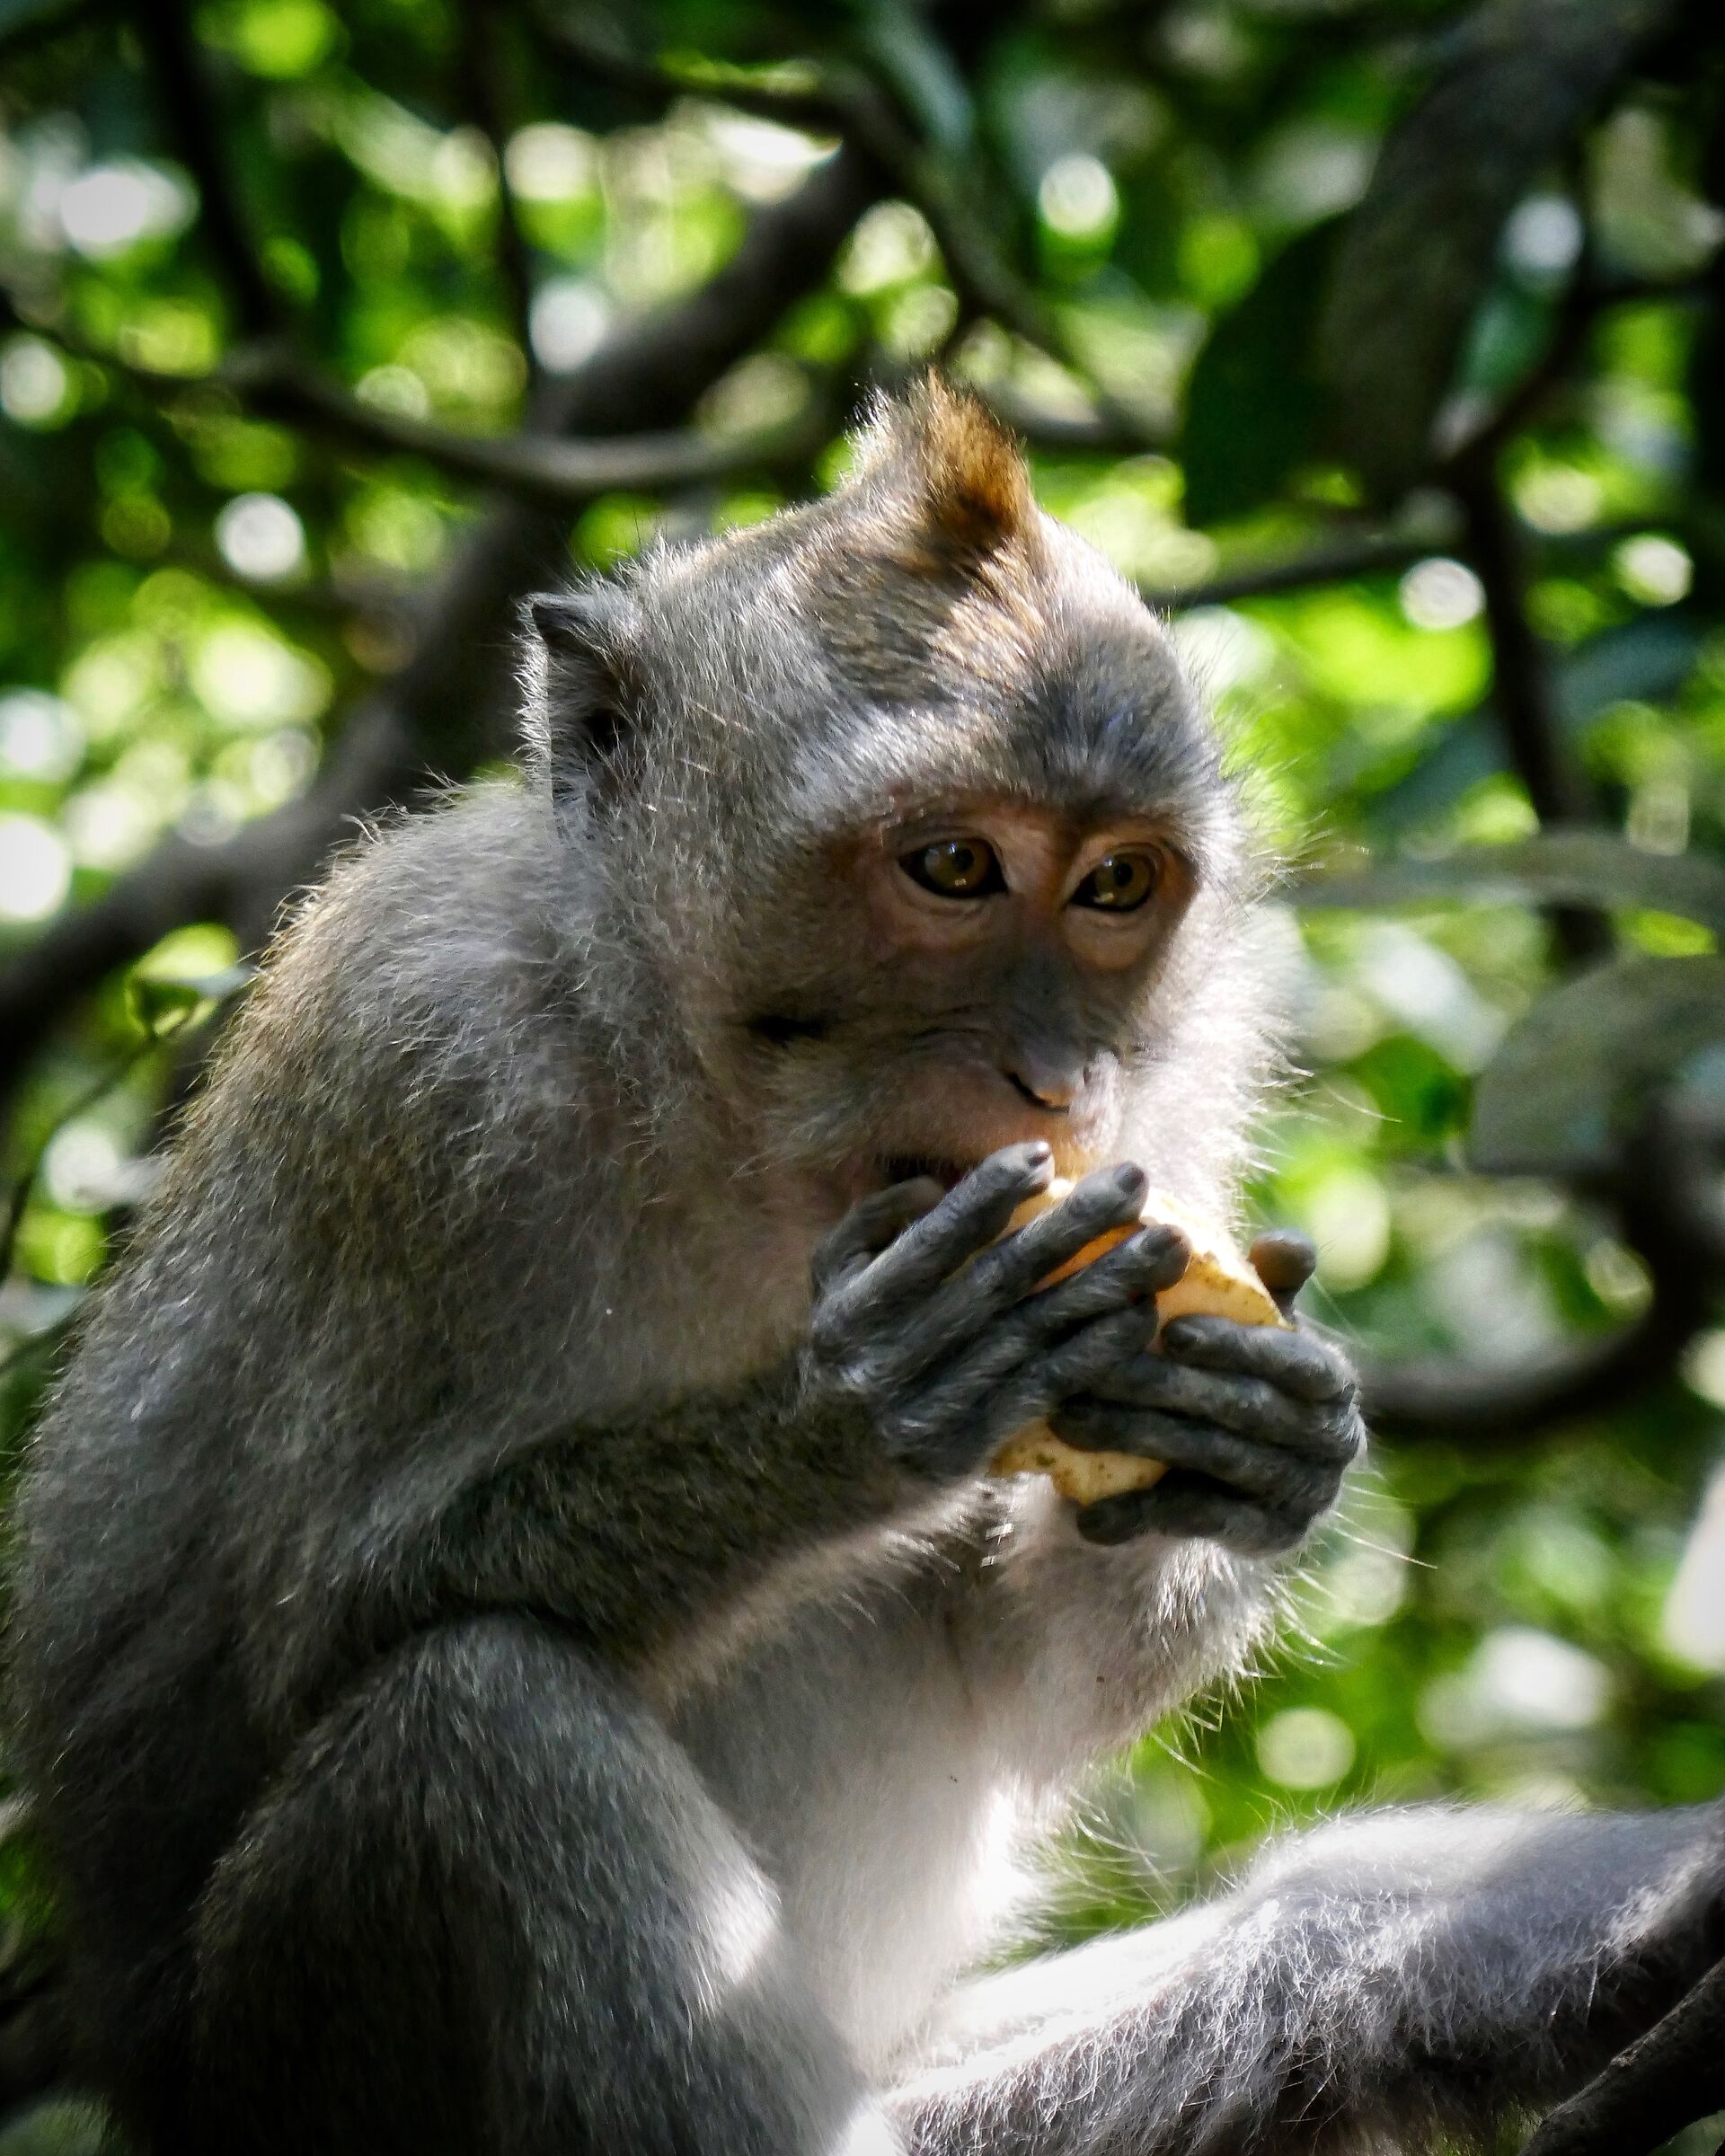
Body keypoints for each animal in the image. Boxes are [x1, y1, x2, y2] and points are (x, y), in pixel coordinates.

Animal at [7, 378, 1722, 2156]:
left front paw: (1253, 1432)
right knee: (480, 1723)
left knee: (1308, 1935)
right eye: (953, 867)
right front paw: (853, 1422)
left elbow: (1024, 1676)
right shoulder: (403, 1065)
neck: (720, 1125)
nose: (1053, 1076)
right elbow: (304, 1643)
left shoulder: (1180, 1095)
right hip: (289, 2058)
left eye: (1115, 883)